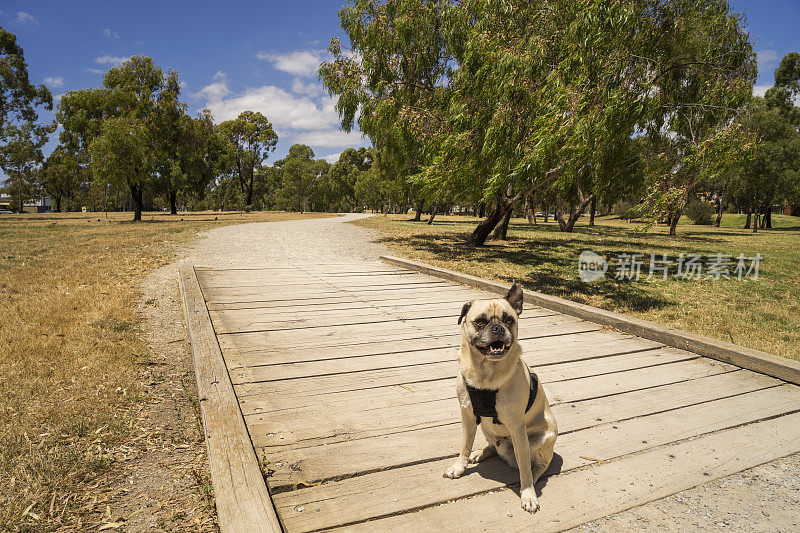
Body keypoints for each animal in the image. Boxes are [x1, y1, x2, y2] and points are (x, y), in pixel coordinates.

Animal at [440, 282, 560, 512]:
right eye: (480, 321)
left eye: (509, 320)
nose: (497, 328)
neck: (486, 373)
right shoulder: (467, 416)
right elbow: (464, 445)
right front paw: (459, 466)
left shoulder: (516, 426)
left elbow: (525, 468)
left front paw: (528, 494)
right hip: (487, 430)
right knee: (493, 447)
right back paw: (479, 453)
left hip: (540, 440)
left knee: (537, 465)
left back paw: (533, 480)